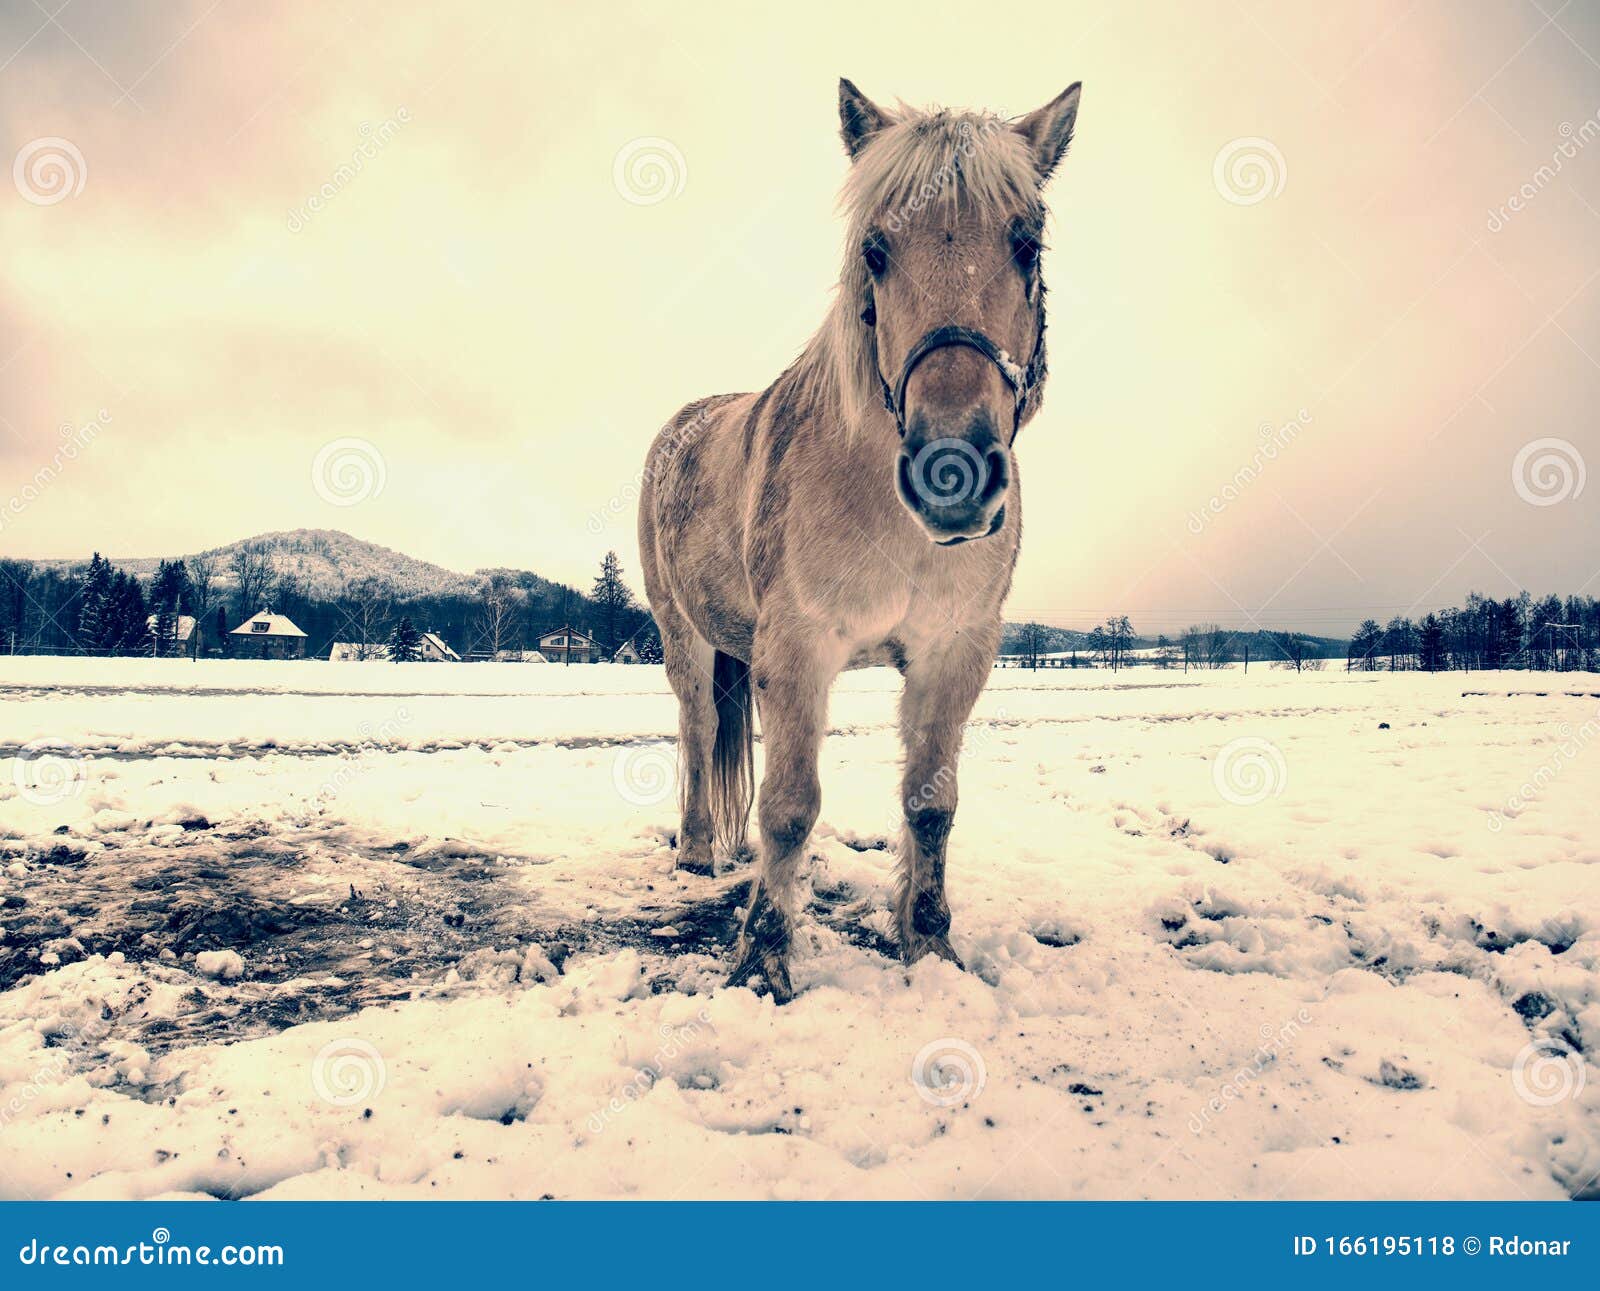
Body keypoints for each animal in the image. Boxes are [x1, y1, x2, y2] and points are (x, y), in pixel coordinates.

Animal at [640, 75, 1088, 998]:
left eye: (1027, 247)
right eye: (876, 252)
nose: (952, 470)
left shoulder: (957, 650)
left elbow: (931, 802)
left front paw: (930, 945)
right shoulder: (797, 648)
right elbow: (788, 807)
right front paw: (762, 962)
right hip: (683, 635)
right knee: (698, 733)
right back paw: (698, 853)